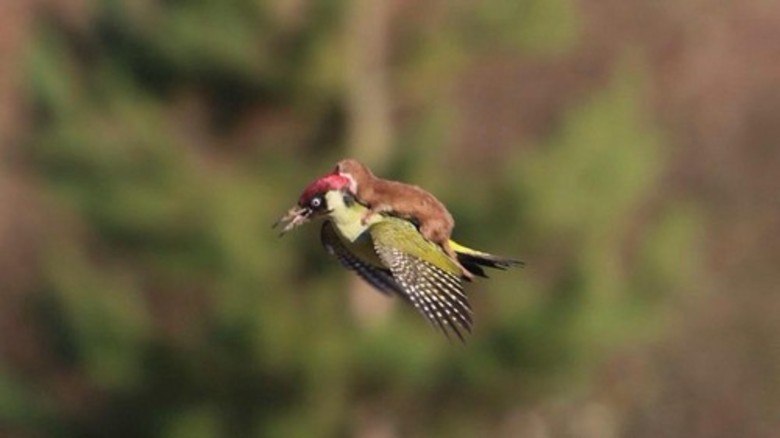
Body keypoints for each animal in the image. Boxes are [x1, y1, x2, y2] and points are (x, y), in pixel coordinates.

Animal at [336, 159, 476, 278]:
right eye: (339, 165)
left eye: (342, 165)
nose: (336, 165)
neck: (364, 186)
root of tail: (447, 231)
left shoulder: (379, 199)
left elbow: (377, 207)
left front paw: (366, 217)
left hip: (430, 224)